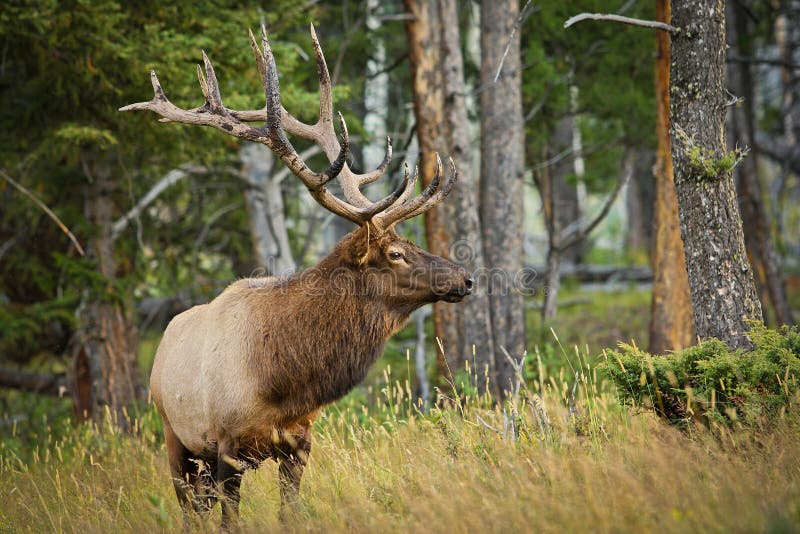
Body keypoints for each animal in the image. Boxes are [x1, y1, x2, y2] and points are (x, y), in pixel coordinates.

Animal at [118, 26, 468, 532]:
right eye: (396, 253)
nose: (465, 278)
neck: (285, 381)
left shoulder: (299, 443)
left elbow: (290, 513)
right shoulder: (227, 448)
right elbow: (230, 521)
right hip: (173, 437)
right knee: (188, 507)